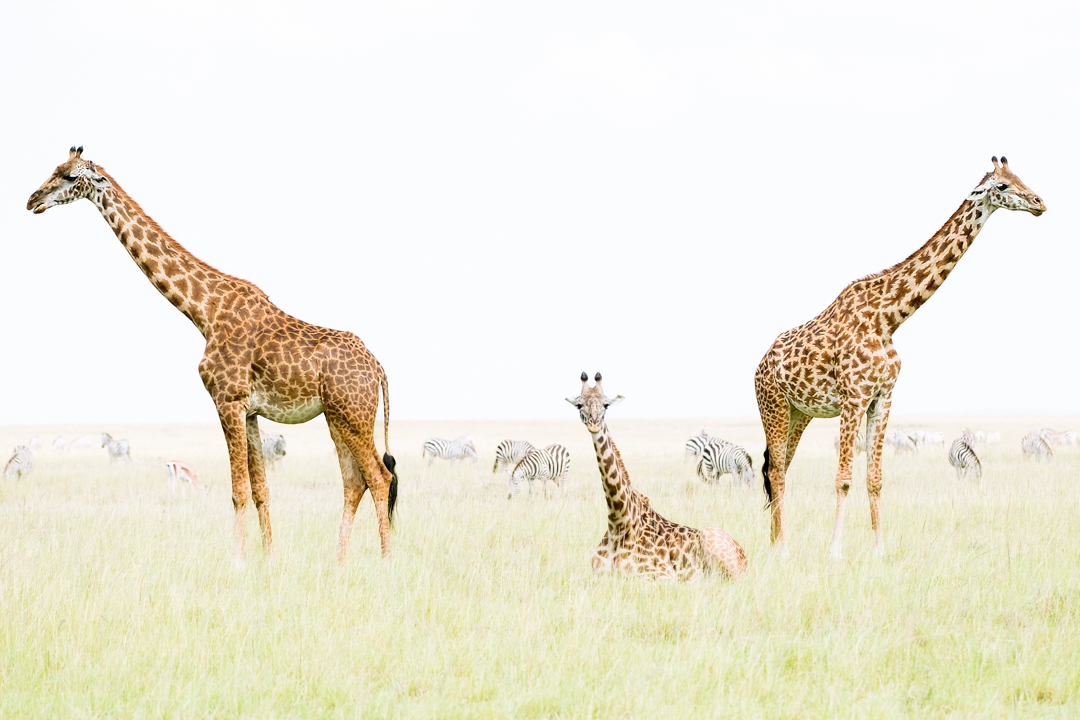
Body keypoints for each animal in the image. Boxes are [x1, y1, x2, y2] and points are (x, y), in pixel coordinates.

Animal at [27, 147, 399, 562]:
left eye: (71, 177)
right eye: (55, 169)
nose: (33, 200)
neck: (204, 312)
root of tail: (378, 367)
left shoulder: (227, 400)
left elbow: (238, 491)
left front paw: (237, 561)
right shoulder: (249, 410)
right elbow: (260, 490)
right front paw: (269, 558)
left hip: (353, 415)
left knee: (379, 477)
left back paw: (385, 560)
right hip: (338, 418)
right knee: (354, 481)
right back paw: (339, 562)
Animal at [566, 372, 747, 579]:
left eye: (606, 405)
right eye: (579, 405)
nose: (594, 425)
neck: (618, 522)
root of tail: (745, 558)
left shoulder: (662, 575)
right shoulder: (594, 573)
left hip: (715, 543)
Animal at [755, 156, 1046, 559]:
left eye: (1019, 176)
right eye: (1001, 186)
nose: (1039, 202)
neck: (889, 317)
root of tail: (759, 366)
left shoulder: (883, 397)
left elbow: (875, 478)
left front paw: (878, 550)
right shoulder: (854, 397)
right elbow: (843, 478)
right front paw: (835, 552)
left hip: (800, 413)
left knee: (778, 468)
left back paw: (775, 544)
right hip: (774, 405)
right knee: (777, 471)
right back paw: (782, 548)